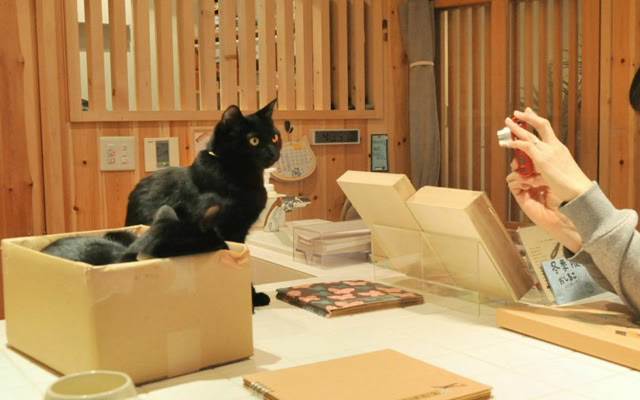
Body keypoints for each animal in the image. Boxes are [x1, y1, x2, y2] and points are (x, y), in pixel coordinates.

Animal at [125, 100, 282, 308]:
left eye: (274, 137)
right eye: (254, 141)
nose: (273, 153)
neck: (246, 179)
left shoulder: (240, 231)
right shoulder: (222, 229)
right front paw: (250, 297)